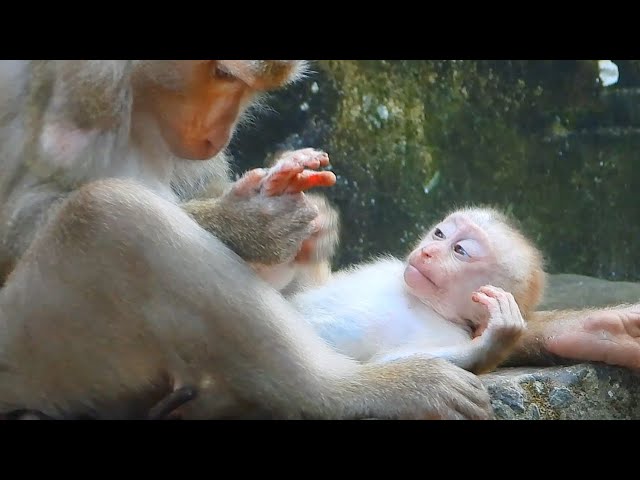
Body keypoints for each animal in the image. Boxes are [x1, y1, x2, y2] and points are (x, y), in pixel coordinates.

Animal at [0, 60, 494, 420]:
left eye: (245, 86)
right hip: (37, 359)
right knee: (110, 213)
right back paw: (350, 391)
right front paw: (252, 222)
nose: (218, 134)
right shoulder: (90, 83)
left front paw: (314, 229)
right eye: (222, 74)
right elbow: (21, 218)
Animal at [254, 206, 542, 375]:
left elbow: (386, 364)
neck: (423, 300)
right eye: (439, 234)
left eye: (460, 250)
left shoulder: (452, 333)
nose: (427, 252)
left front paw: (494, 339)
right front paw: (312, 231)